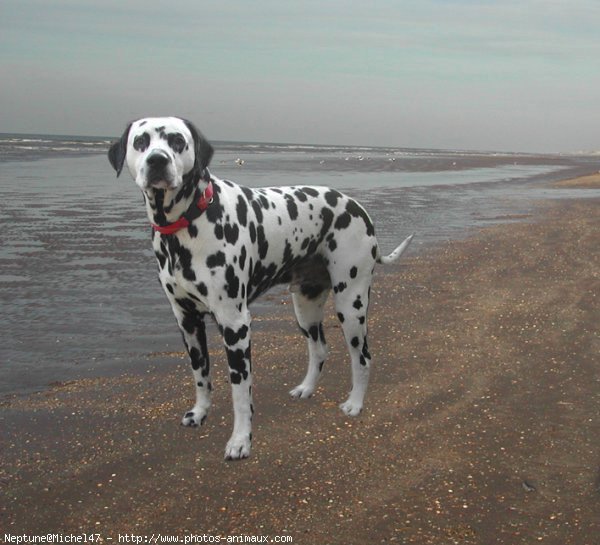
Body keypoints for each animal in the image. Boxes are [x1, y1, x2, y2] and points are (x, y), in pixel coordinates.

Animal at [108, 116, 412, 460]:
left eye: (177, 141)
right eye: (141, 142)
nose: (157, 161)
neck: (188, 224)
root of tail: (359, 209)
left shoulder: (235, 325)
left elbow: (241, 393)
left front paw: (240, 440)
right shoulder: (187, 321)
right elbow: (201, 375)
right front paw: (200, 412)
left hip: (351, 305)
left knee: (362, 357)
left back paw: (355, 403)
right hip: (306, 308)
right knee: (319, 348)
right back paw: (307, 388)